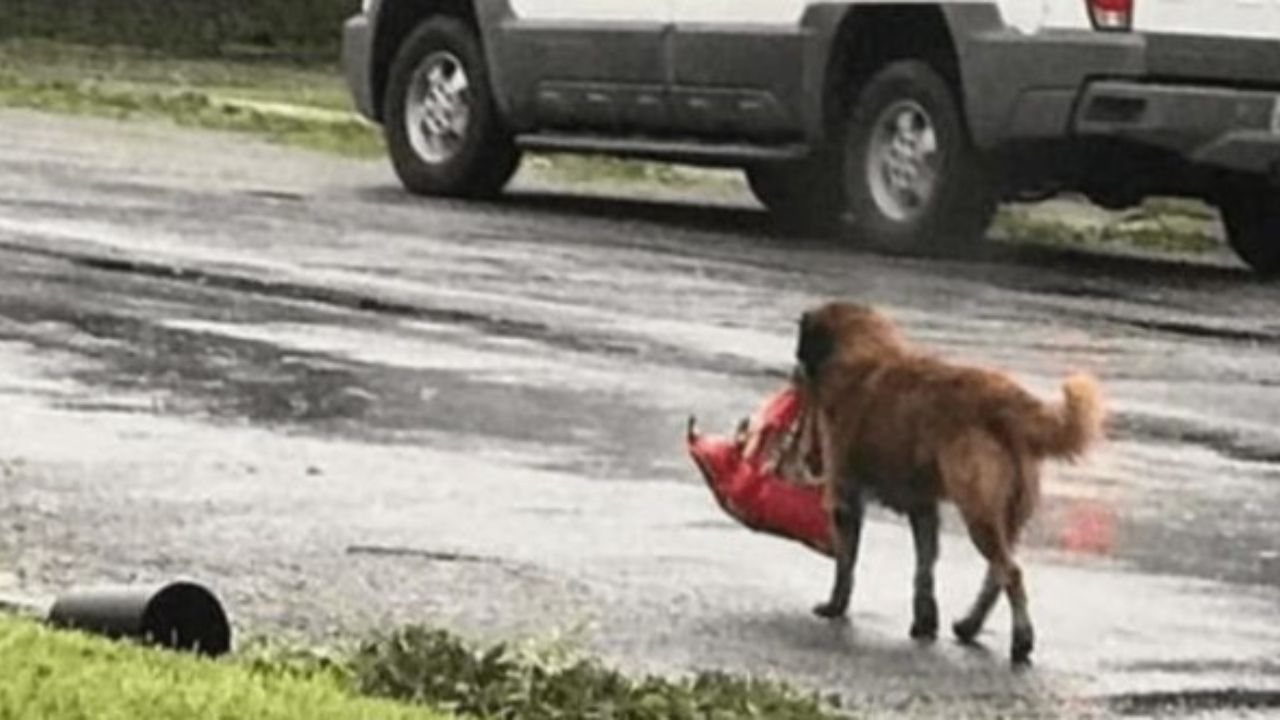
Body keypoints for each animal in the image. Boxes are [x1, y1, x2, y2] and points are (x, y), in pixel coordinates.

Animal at [788, 301, 1100, 661]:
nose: (794, 373)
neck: (864, 352)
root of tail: (1004, 399)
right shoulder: (923, 508)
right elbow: (925, 569)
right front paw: (925, 622)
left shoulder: (846, 498)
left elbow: (846, 564)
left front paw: (835, 607)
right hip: (1007, 516)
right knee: (997, 575)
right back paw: (969, 625)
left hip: (979, 513)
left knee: (1011, 572)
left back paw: (1021, 640)